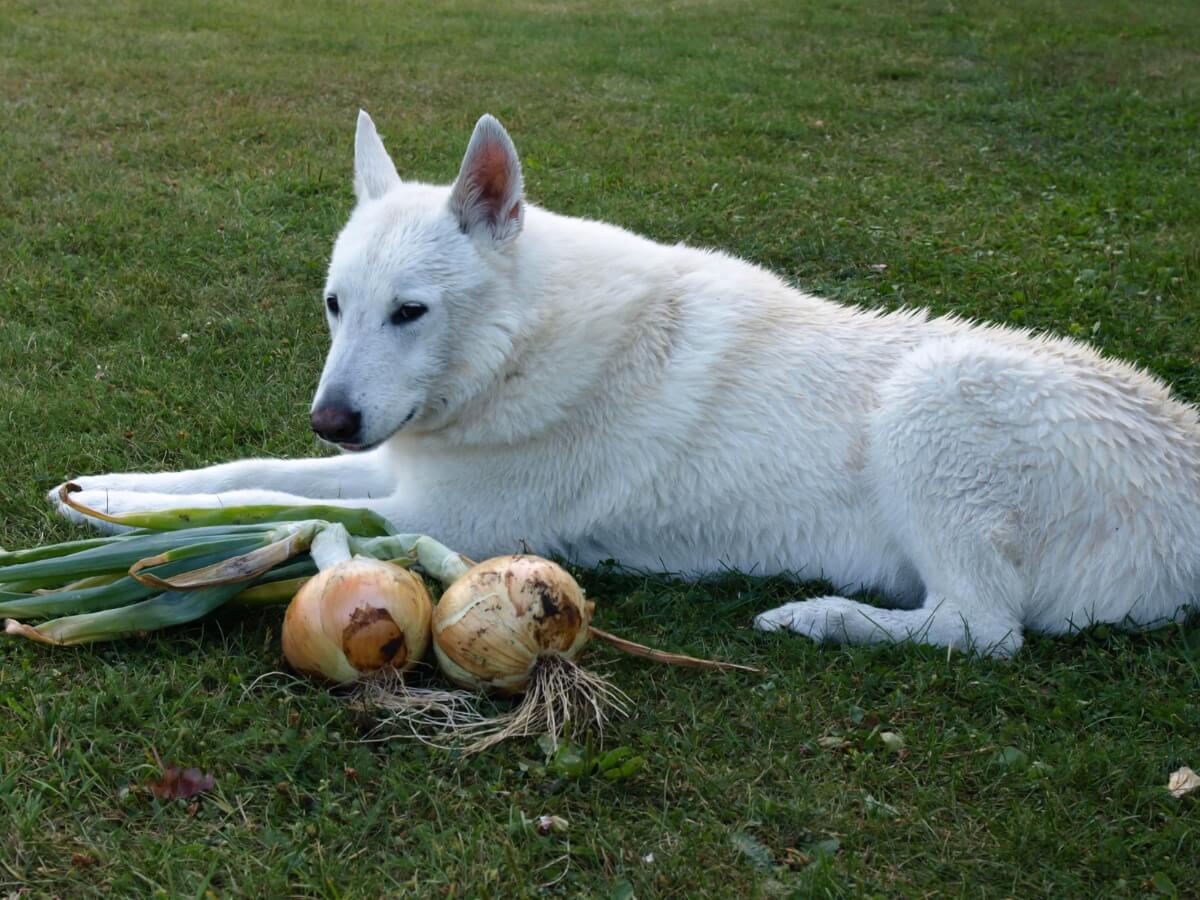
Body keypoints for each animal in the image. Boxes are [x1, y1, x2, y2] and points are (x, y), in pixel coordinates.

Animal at [54, 114, 1200, 662]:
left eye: (410, 313)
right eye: (337, 306)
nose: (333, 417)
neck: (520, 348)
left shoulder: (442, 512)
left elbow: (276, 503)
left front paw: (124, 525)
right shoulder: (397, 468)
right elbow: (245, 472)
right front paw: (107, 495)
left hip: (933, 396)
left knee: (984, 631)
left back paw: (819, 618)